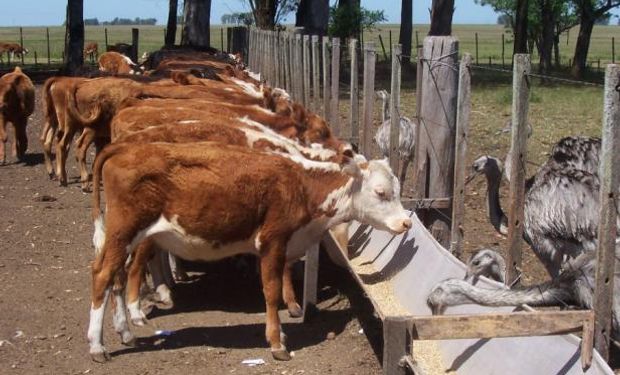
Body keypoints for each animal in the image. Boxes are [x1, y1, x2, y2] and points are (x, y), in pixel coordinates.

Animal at [85, 142, 410, 364]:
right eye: (381, 192)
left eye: (396, 189)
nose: (406, 222)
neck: (301, 185)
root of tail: (124, 147)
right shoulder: (272, 241)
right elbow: (271, 291)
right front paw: (277, 343)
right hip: (124, 231)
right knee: (102, 275)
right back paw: (97, 345)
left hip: (126, 238)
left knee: (117, 277)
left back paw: (125, 332)